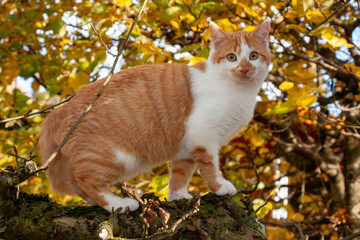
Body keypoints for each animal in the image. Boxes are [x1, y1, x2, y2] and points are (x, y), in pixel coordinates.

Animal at [39, 20, 270, 212]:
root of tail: (59, 110)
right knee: (85, 179)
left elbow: (180, 174)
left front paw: (178, 197)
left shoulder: (187, 147)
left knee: (76, 182)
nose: (244, 69)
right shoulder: (203, 135)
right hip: (114, 156)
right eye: (231, 57)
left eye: (253, 56)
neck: (238, 92)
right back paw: (118, 204)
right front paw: (219, 186)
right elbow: (210, 166)